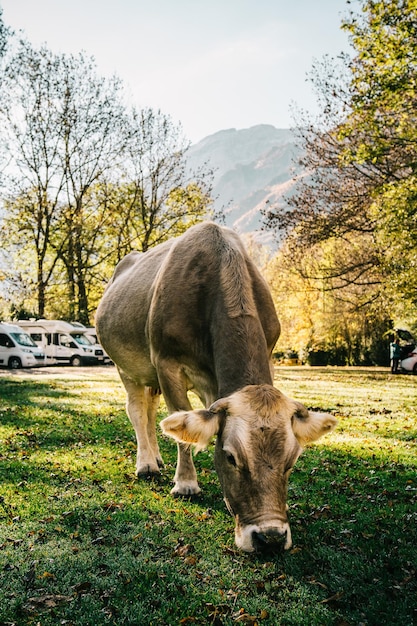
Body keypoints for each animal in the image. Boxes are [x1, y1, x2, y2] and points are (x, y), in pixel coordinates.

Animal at [95, 222, 334, 548]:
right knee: (136, 410)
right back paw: (146, 464)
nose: (270, 538)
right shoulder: (167, 363)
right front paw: (186, 483)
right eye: (231, 457)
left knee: (151, 411)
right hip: (127, 366)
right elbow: (183, 431)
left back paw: (156, 456)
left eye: (292, 460)